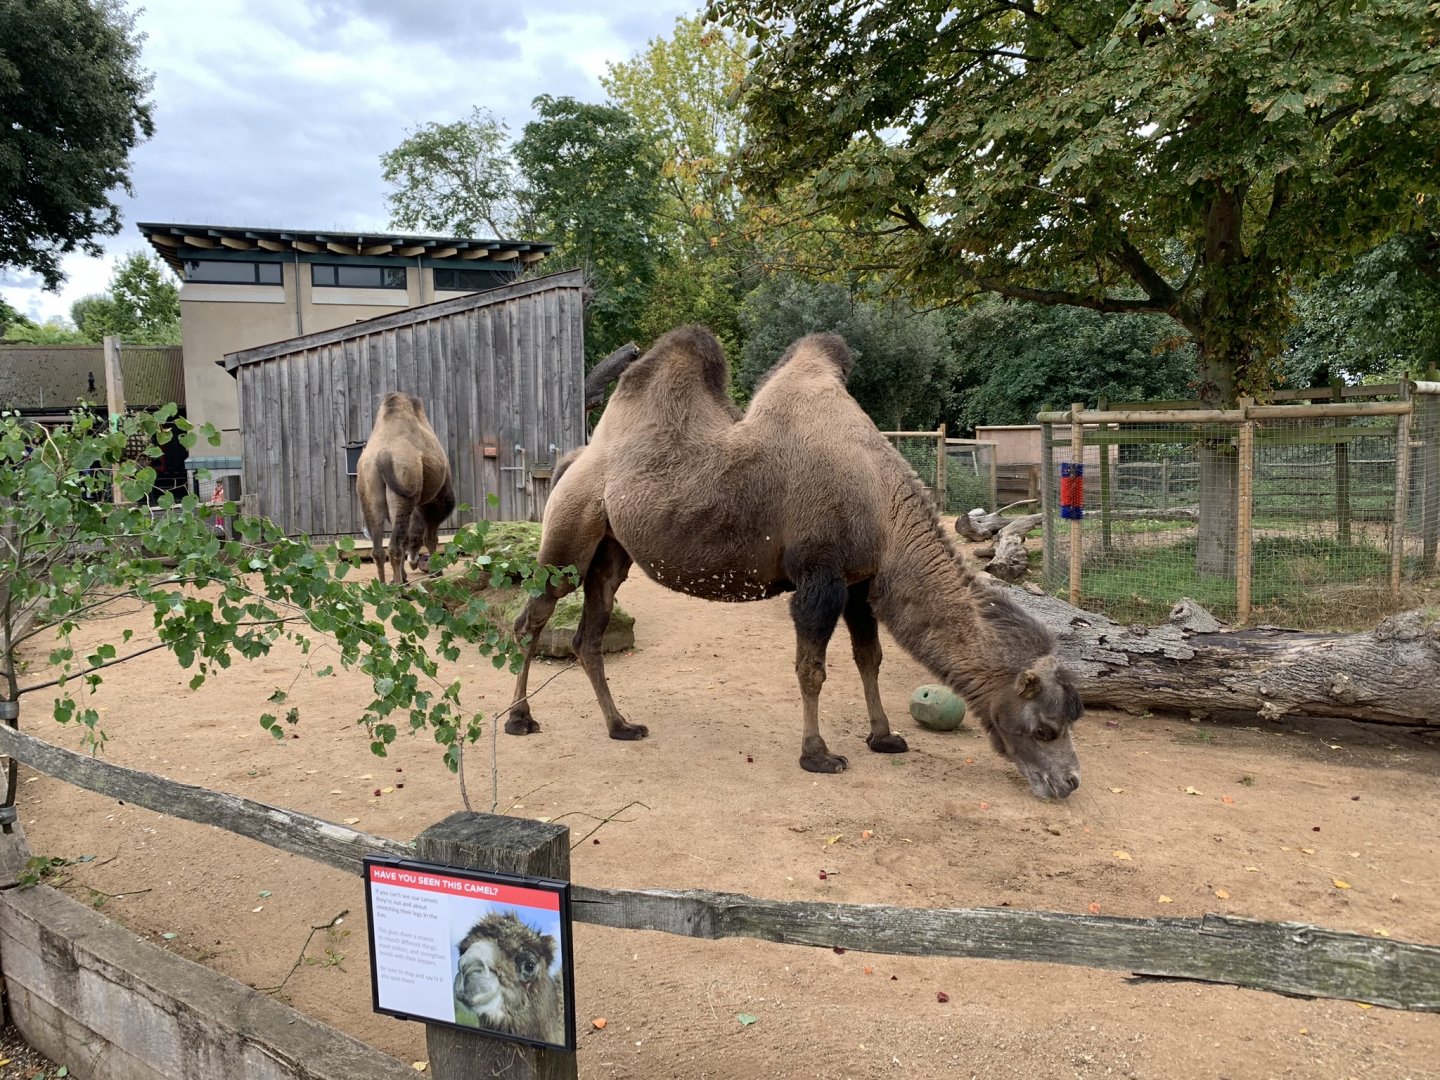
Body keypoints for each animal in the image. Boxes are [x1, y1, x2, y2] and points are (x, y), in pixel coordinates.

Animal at [356, 393, 455, 584]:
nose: (414, 562)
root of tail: (381, 456)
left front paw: (403, 576)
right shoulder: (436, 502)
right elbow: (430, 537)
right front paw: (436, 572)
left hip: (369, 490)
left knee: (379, 548)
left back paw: (383, 586)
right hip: (405, 486)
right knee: (394, 546)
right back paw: (398, 588)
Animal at [506, 327, 1085, 799]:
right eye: (1045, 729)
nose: (1069, 781)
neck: (883, 505)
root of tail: (573, 459)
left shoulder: (859, 582)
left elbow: (869, 658)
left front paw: (884, 736)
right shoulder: (819, 577)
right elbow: (812, 669)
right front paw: (818, 754)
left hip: (612, 550)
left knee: (589, 632)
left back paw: (621, 725)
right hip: (569, 533)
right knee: (533, 617)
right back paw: (520, 720)